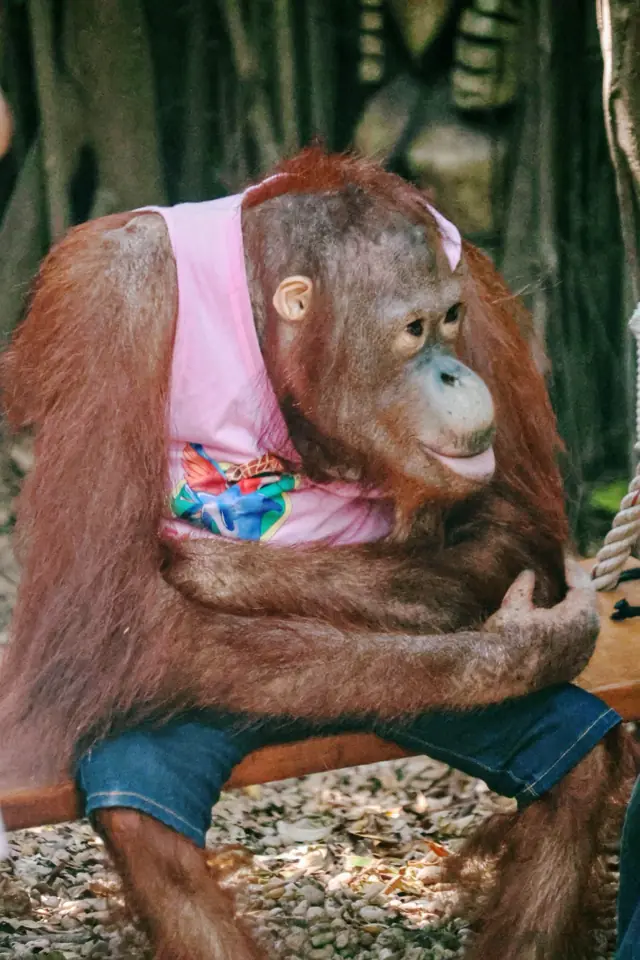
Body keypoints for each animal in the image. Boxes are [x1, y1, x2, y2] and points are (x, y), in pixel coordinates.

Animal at [0, 148, 633, 960]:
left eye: (450, 321)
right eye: (412, 330)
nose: (454, 371)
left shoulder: (475, 279)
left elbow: (512, 525)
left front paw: (225, 570)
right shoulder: (112, 300)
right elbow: (98, 608)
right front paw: (519, 649)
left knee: (575, 772)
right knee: (148, 822)